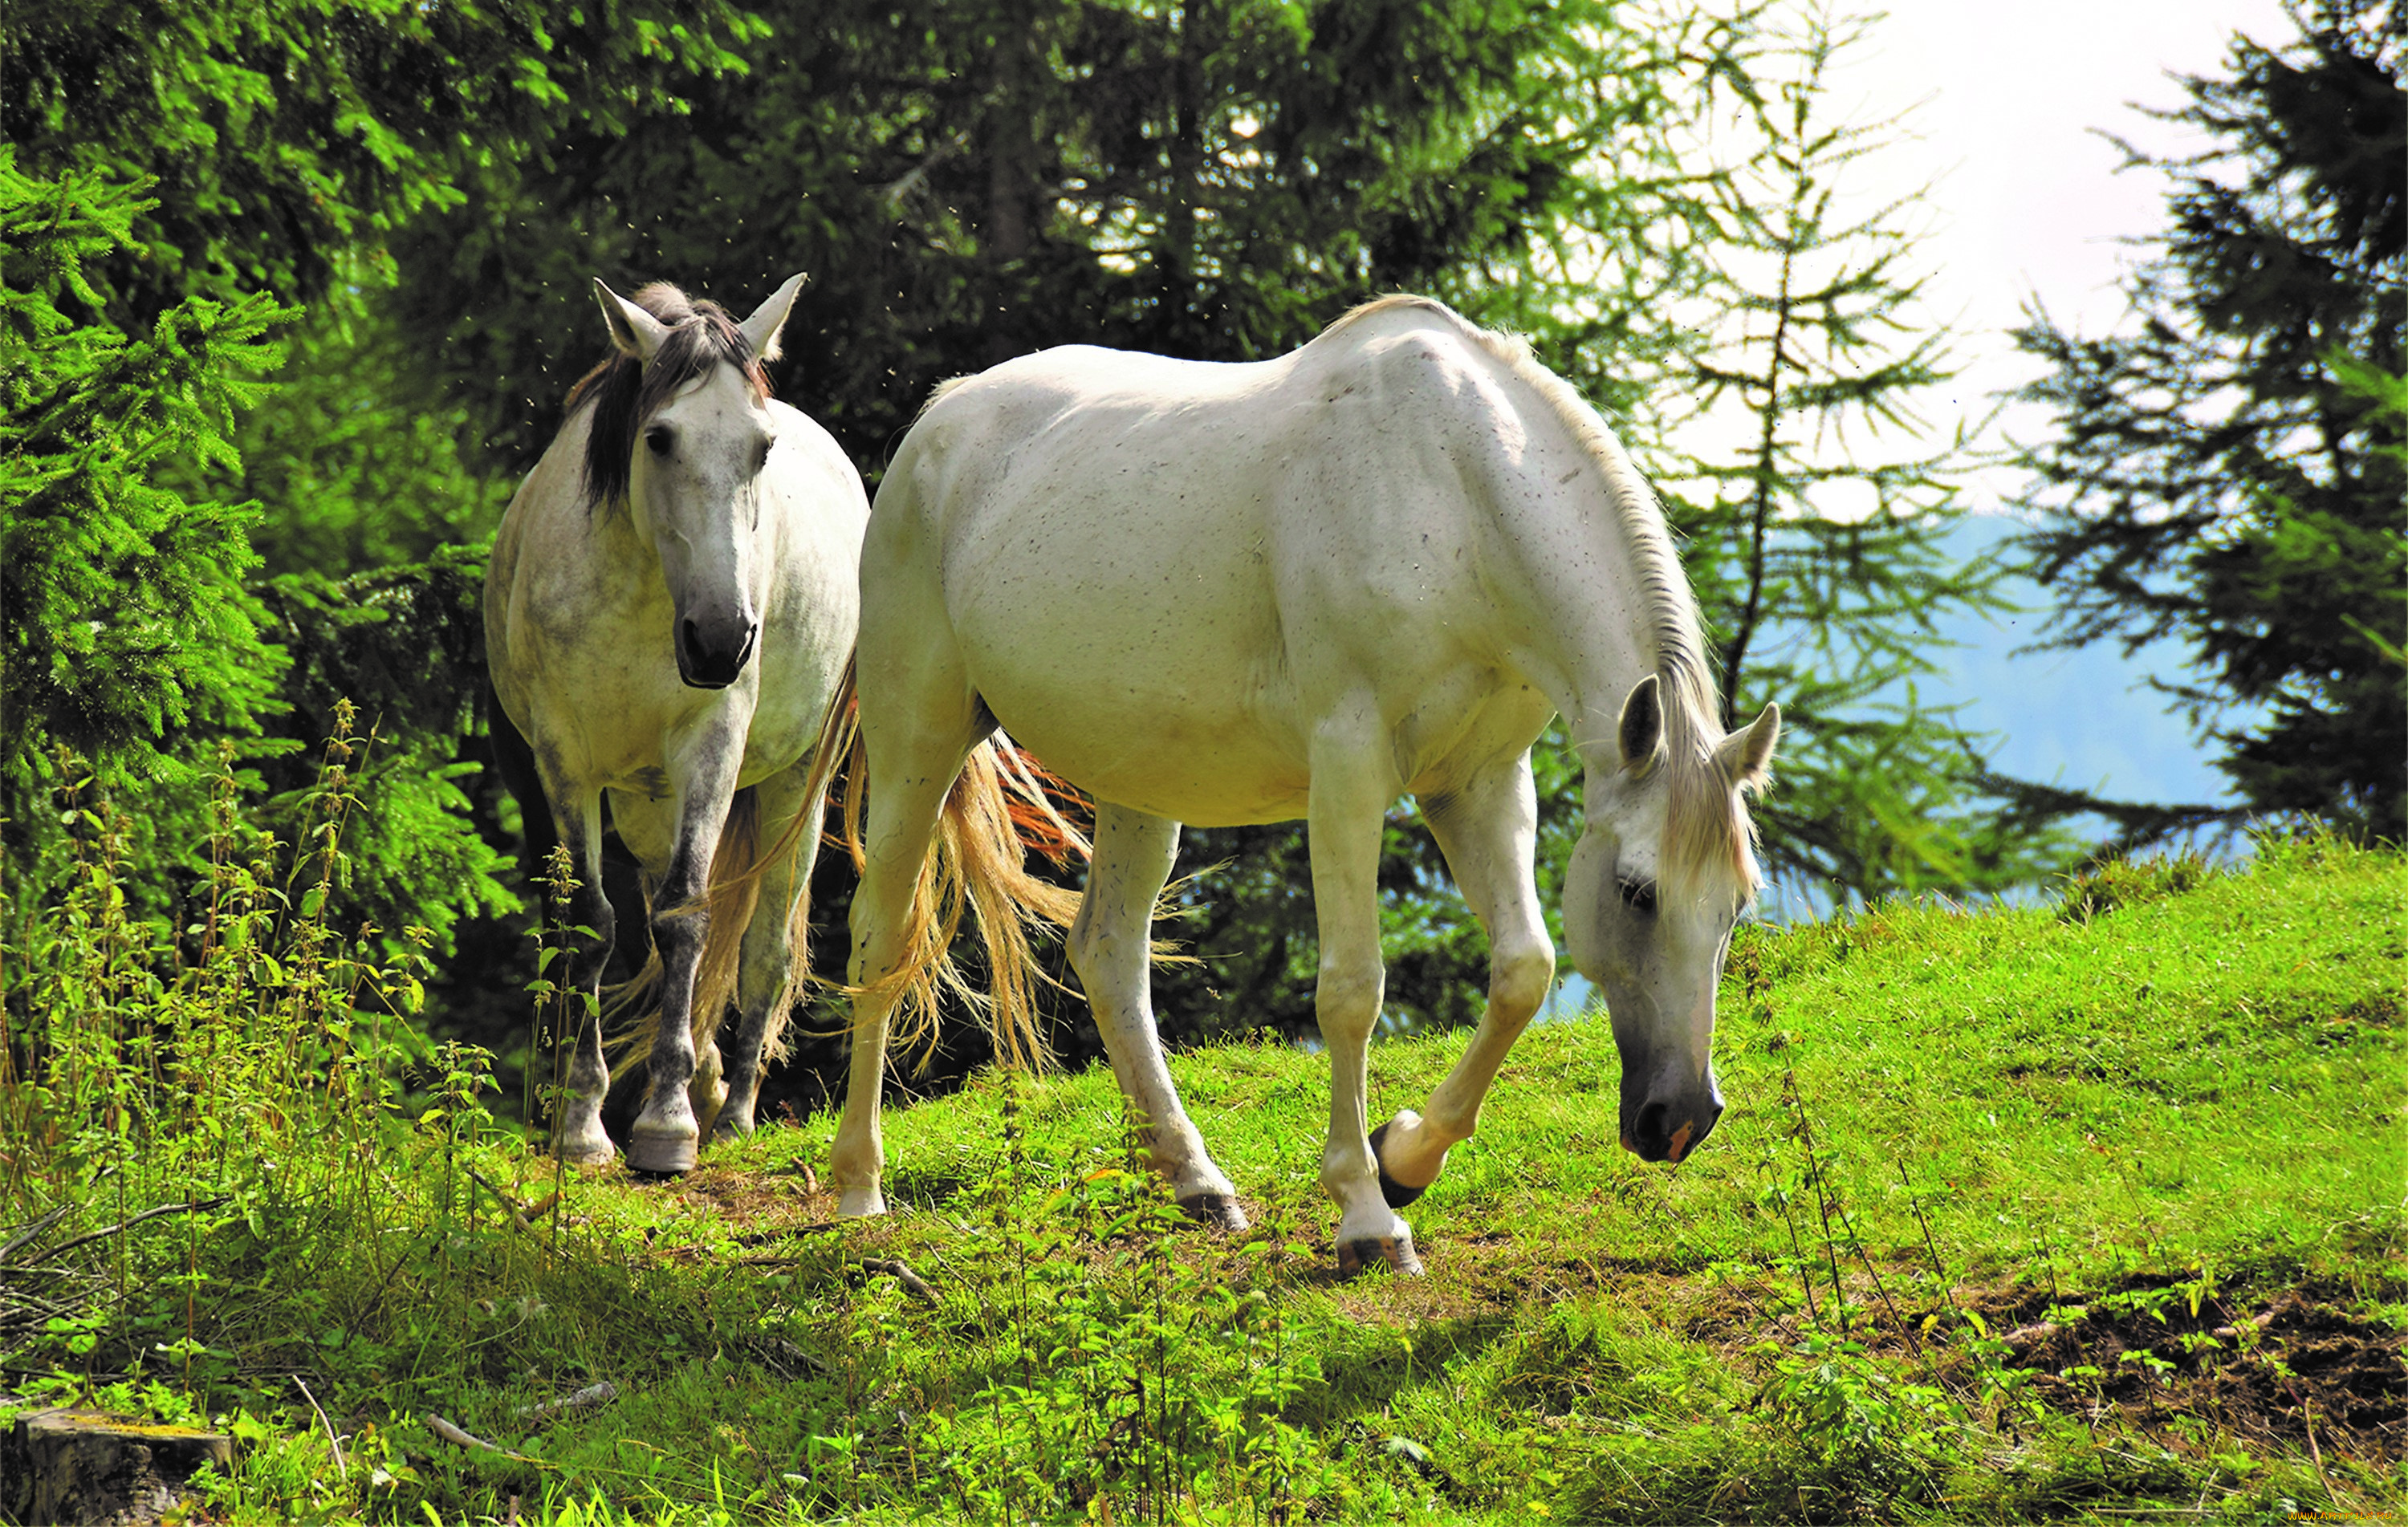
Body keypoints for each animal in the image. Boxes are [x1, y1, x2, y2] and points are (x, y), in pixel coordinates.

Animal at [486, 279, 867, 1170]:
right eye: (659, 438)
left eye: (762, 447)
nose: (722, 638)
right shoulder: (563, 760)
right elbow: (592, 923)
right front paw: (583, 1124)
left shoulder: (712, 747)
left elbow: (689, 914)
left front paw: (667, 1125)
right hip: (644, 802)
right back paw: (710, 1083)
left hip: (797, 784)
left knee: (764, 944)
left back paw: (733, 1112)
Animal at [833, 291, 1792, 1261]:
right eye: (1638, 892)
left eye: (1737, 905)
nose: (1681, 1118)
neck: (1455, 493)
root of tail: (941, 418)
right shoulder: (1350, 770)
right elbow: (1352, 990)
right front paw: (1367, 1213)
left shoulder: (1479, 781)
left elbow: (1525, 967)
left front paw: (1406, 1157)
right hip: (918, 739)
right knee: (880, 934)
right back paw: (857, 1189)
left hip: (1138, 784)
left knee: (1107, 951)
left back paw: (1197, 1180)